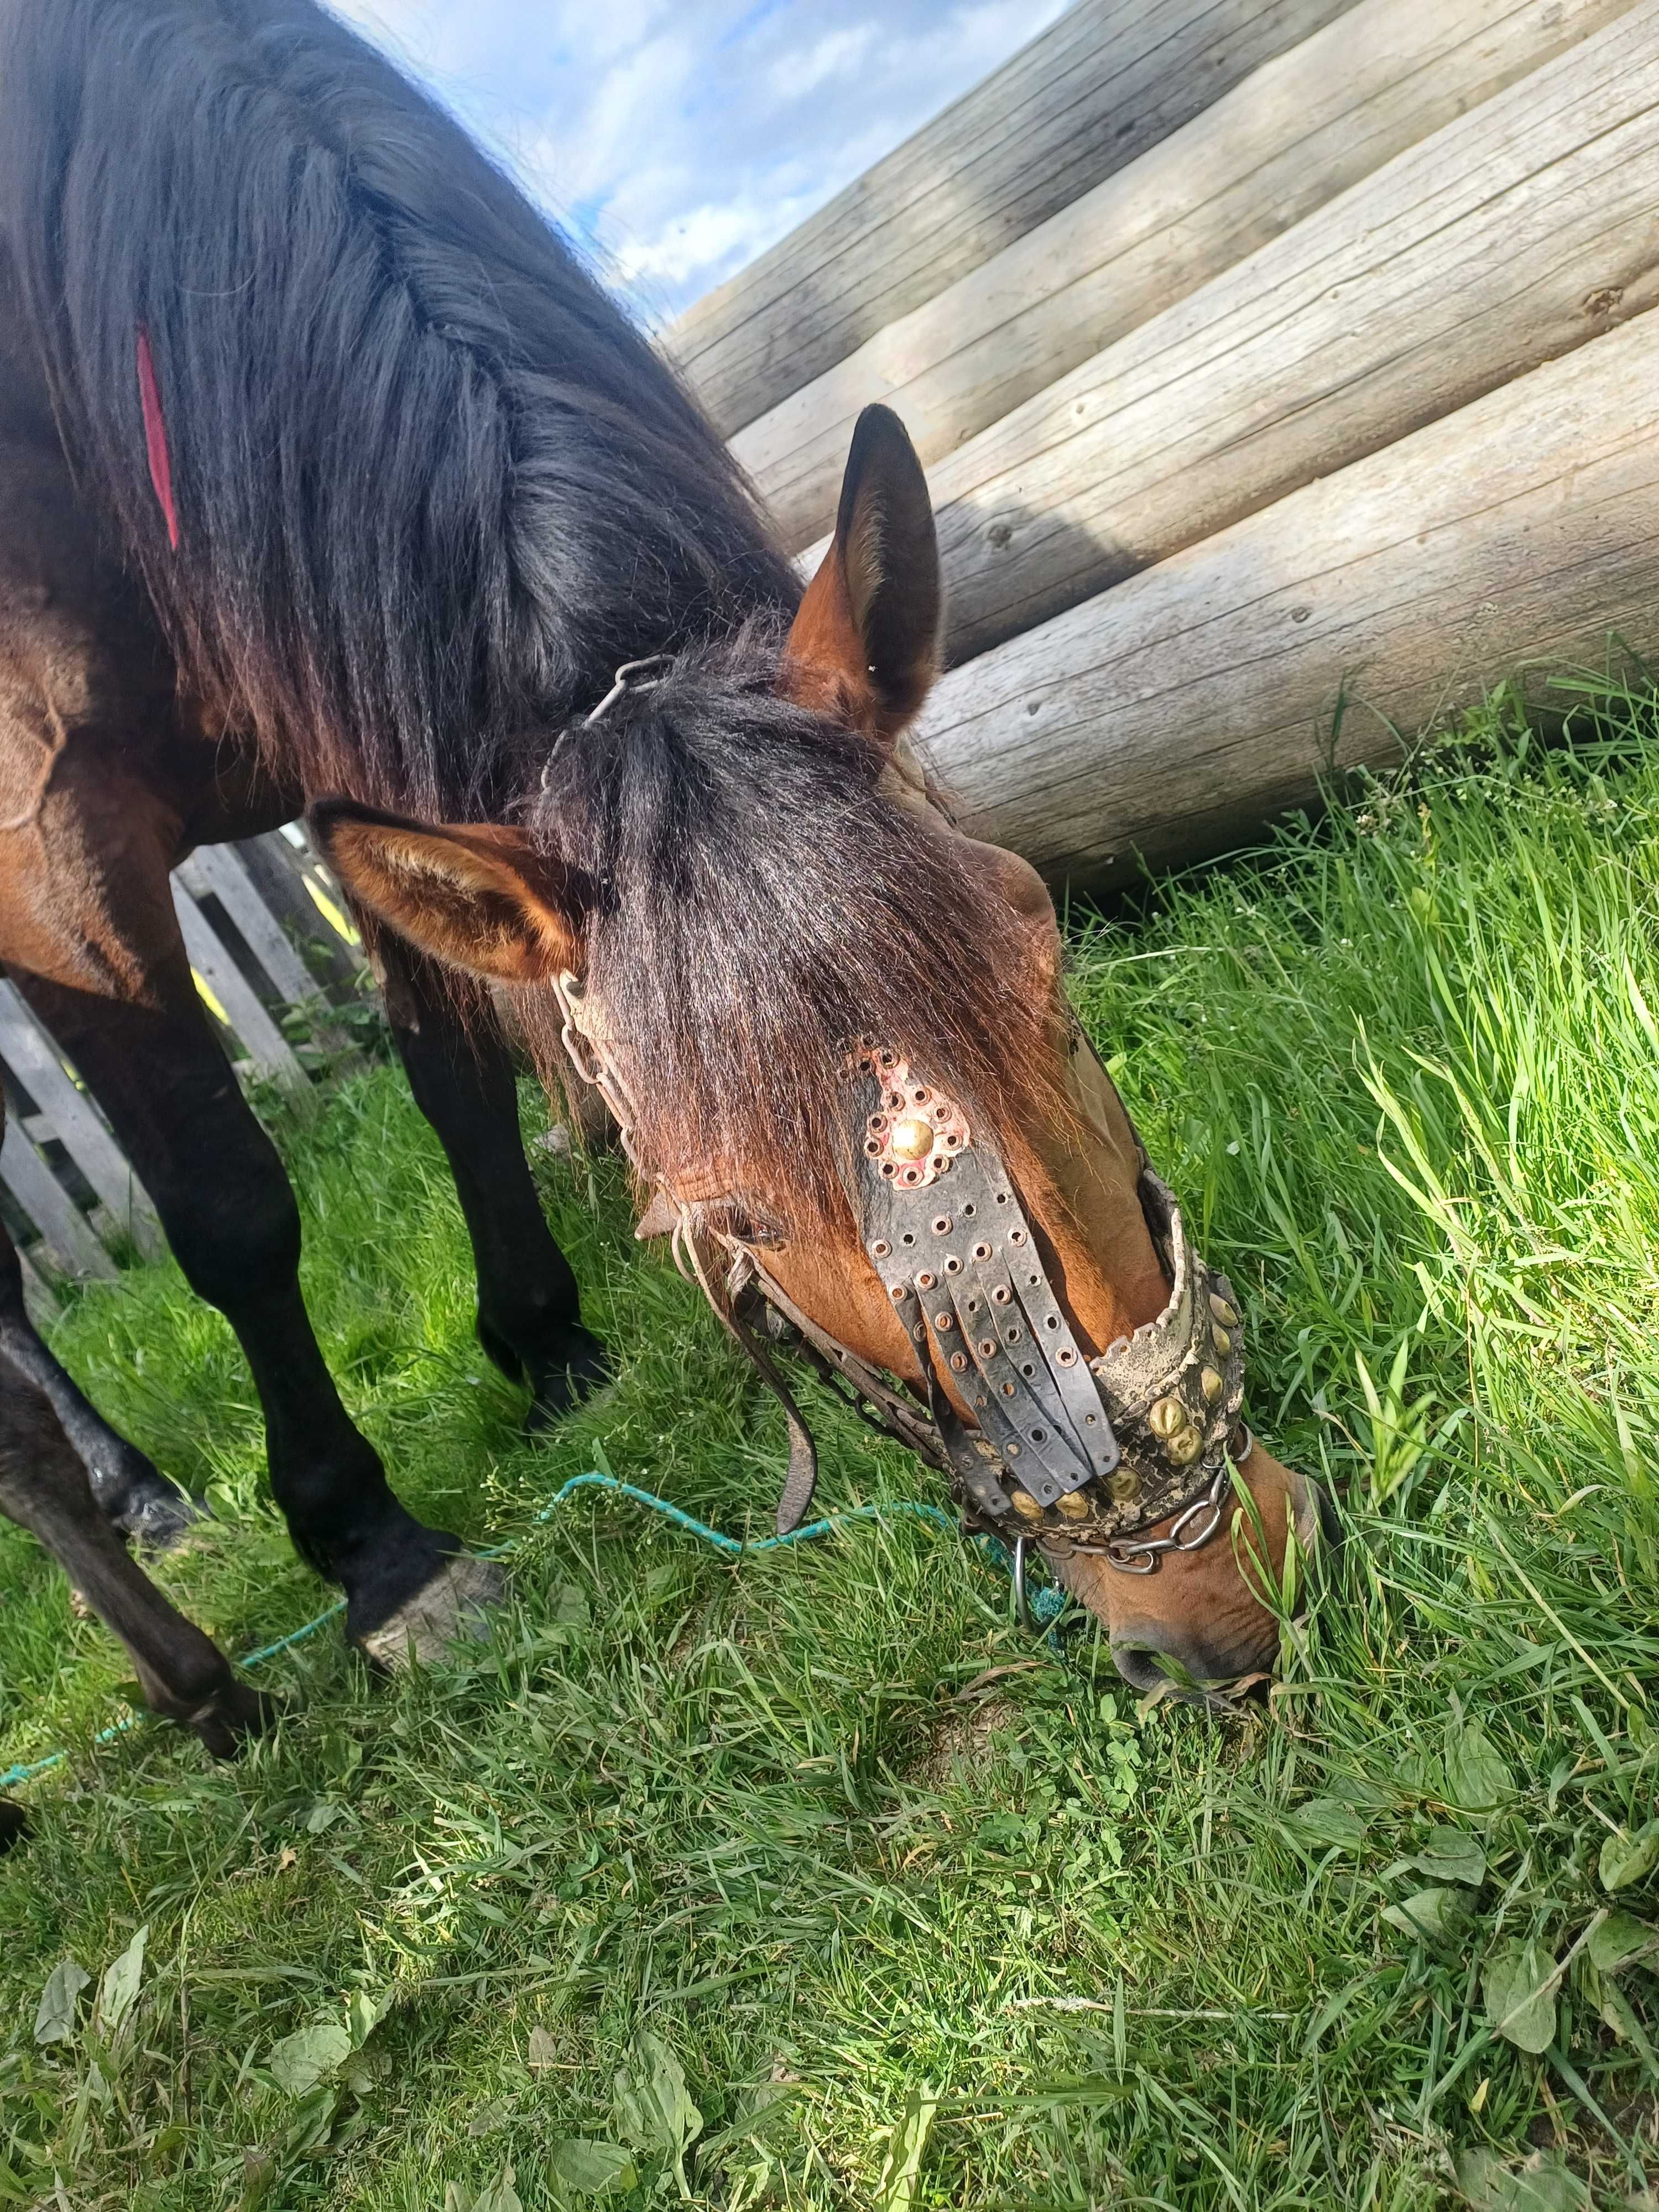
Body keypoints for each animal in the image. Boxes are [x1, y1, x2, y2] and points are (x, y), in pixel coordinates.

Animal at [0, 0, 1327, 1743]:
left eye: (1046, 964)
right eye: (735, 1214)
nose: (1224, 1595)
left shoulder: (357, 745)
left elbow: (455, 1073)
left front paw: (539, 1335)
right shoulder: (51, 842)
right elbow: (230, 1207)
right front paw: (378, 1554)